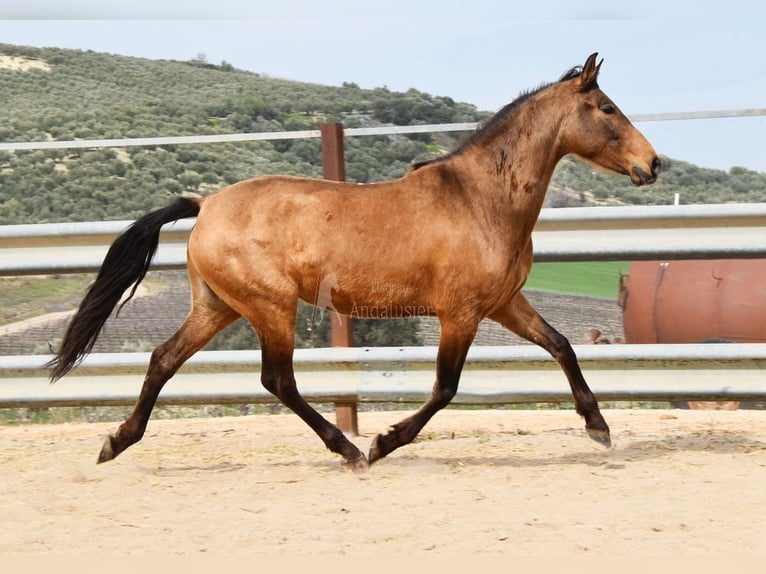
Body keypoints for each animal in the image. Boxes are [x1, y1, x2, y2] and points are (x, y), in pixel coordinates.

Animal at [46, 54, 660, 474]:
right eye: (607, 108)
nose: (653, 164)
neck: (481, 199)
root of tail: (206, 203)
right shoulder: (460, 314)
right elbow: (445, 388)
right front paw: (385, 441)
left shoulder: (505, 303)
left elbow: (561, 345)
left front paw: (599, 427)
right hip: (271, 307)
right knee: (277, 379)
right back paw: (348, 449)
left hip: (219, 307)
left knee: (163, 359)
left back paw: (115, 442)